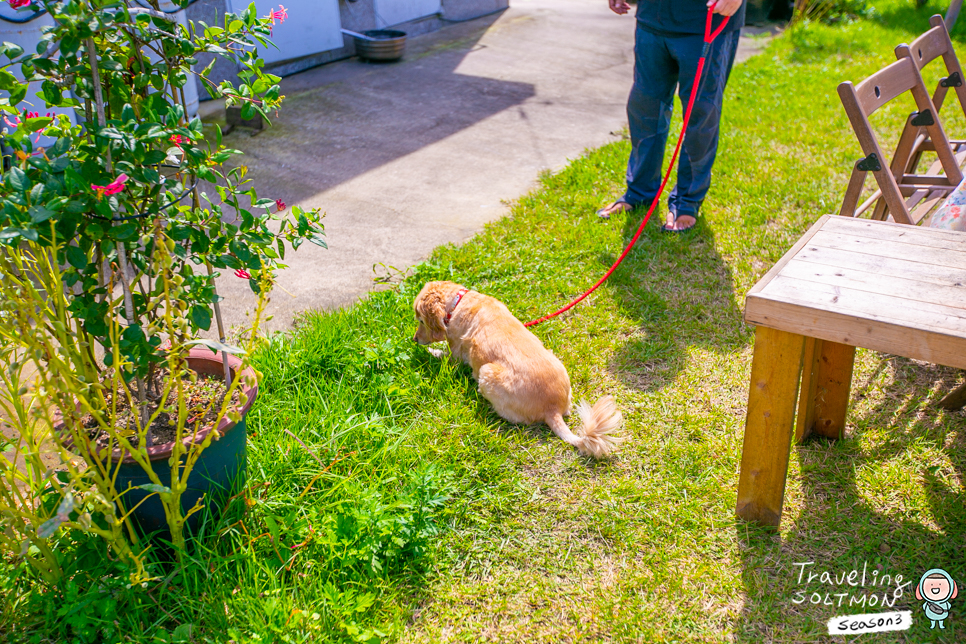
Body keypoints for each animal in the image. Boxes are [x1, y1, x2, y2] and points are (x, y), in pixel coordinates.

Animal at [412, 282, 624, 458]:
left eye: (420, 320)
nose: (414, 340)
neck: (459, 302)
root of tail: (553, 408)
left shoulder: (455, 354)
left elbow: (443, 356)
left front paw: (430, 353)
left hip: (486, 373)